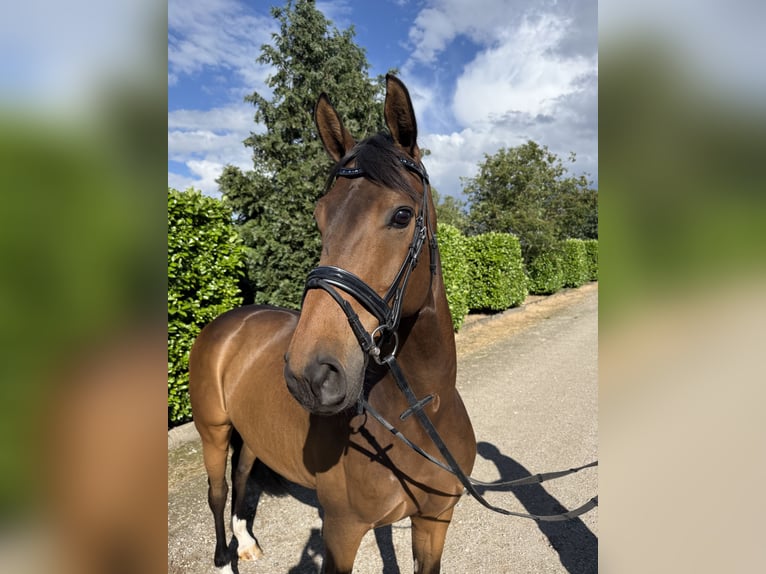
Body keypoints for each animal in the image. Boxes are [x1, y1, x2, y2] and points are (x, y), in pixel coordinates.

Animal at [189, 74, 476, 574]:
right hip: (213, 431)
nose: (310, 375)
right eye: (320, 217)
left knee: (242, 474)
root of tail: (227, 323)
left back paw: (246, 542)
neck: (422, 412)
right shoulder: (341, 534)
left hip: (249, 431)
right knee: (217, 491)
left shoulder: (435, 521)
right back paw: (225, 559)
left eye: (402, 215)